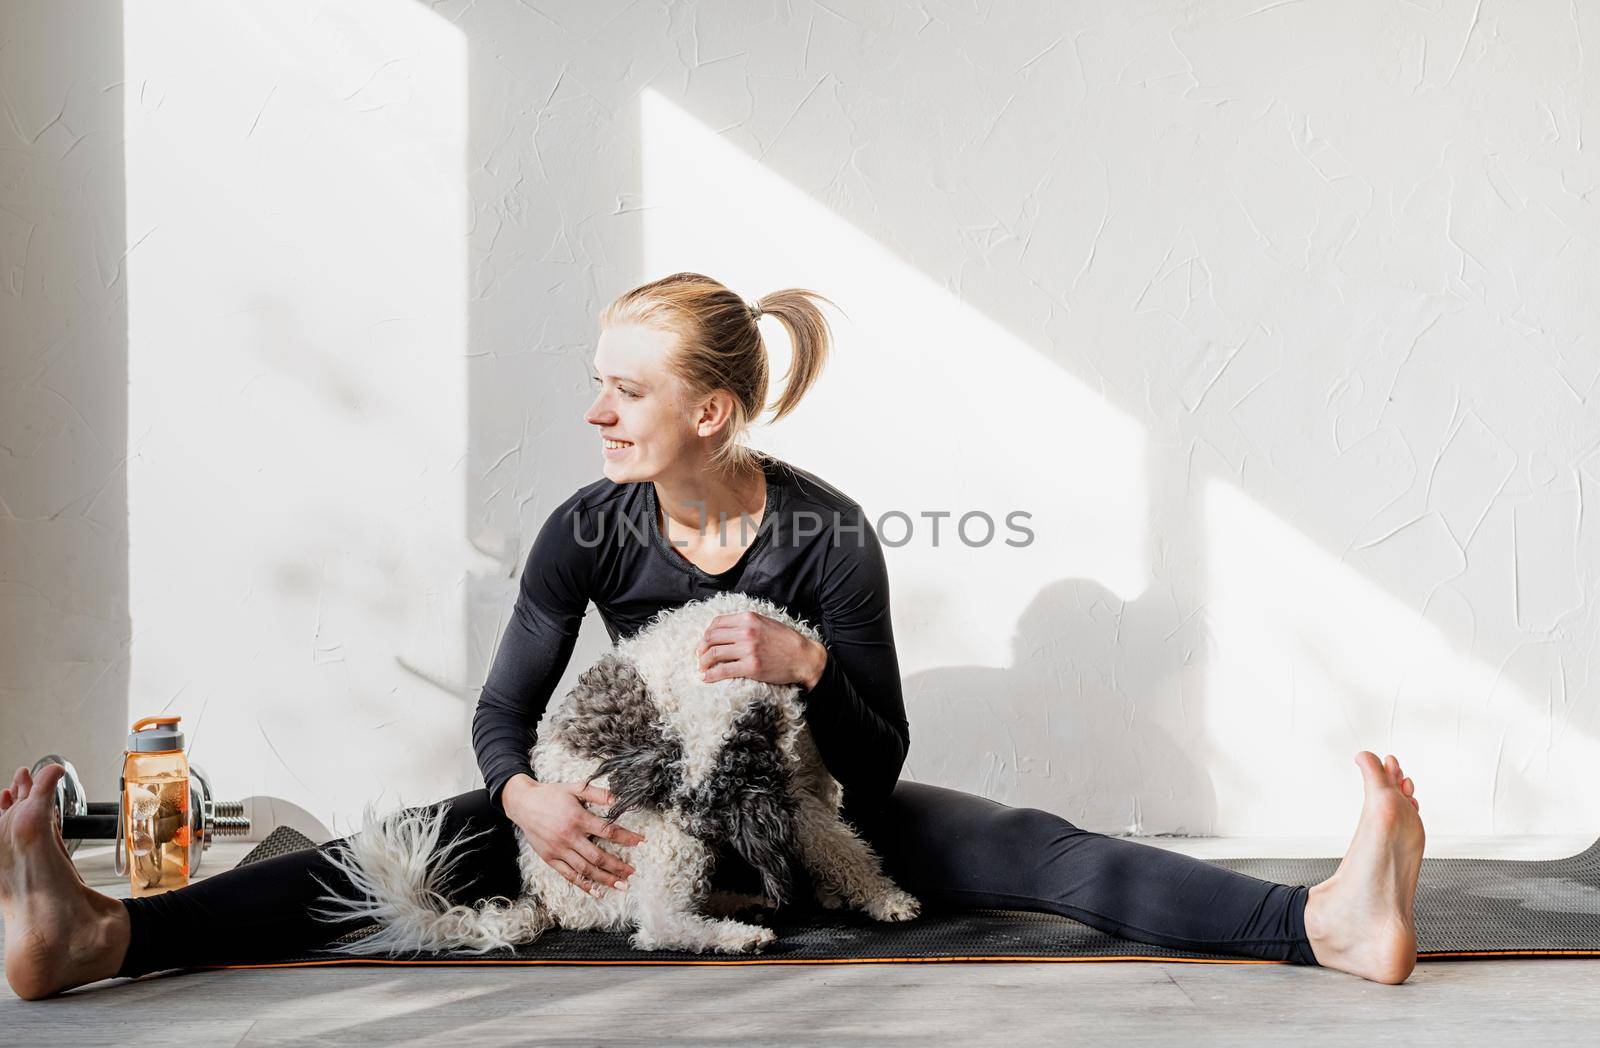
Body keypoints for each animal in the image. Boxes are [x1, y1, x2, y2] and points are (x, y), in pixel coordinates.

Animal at [312, 595, 921, 953]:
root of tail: (544, 902)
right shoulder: (778, 793)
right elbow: (837, 842)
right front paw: (886, 899)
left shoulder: (806, 777)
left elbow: (840, 844)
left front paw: (869, 896)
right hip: (653, 841)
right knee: (656, 924)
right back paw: (734, 935)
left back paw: (732, 901)